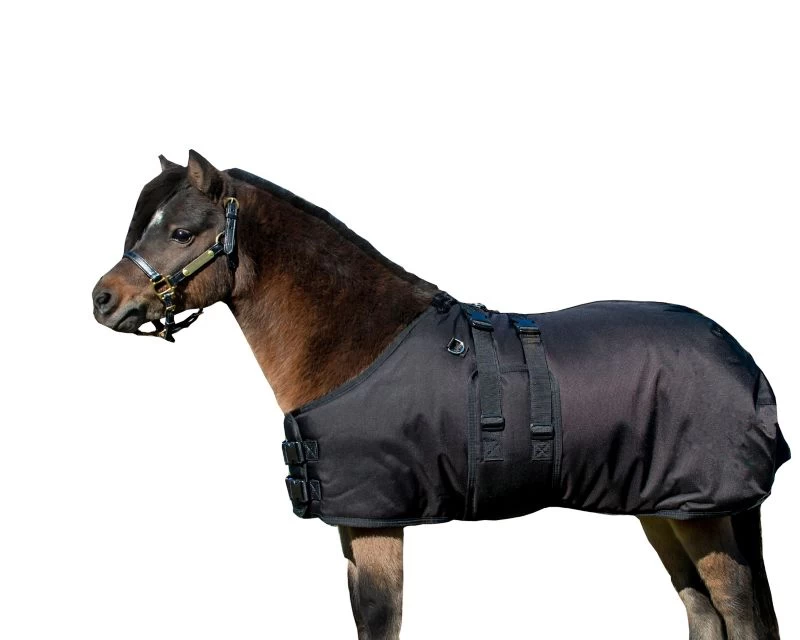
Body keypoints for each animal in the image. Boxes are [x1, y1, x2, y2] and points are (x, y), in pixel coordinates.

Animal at [92, 151, 788, 640]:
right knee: (703, 613)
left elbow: (383, 623)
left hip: (701, 514)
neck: (359, 341)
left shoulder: (378, 523)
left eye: (183, 233)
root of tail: (739, 356)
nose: (103, 299)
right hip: (664, 509)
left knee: (737, 613)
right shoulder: (358, 524)